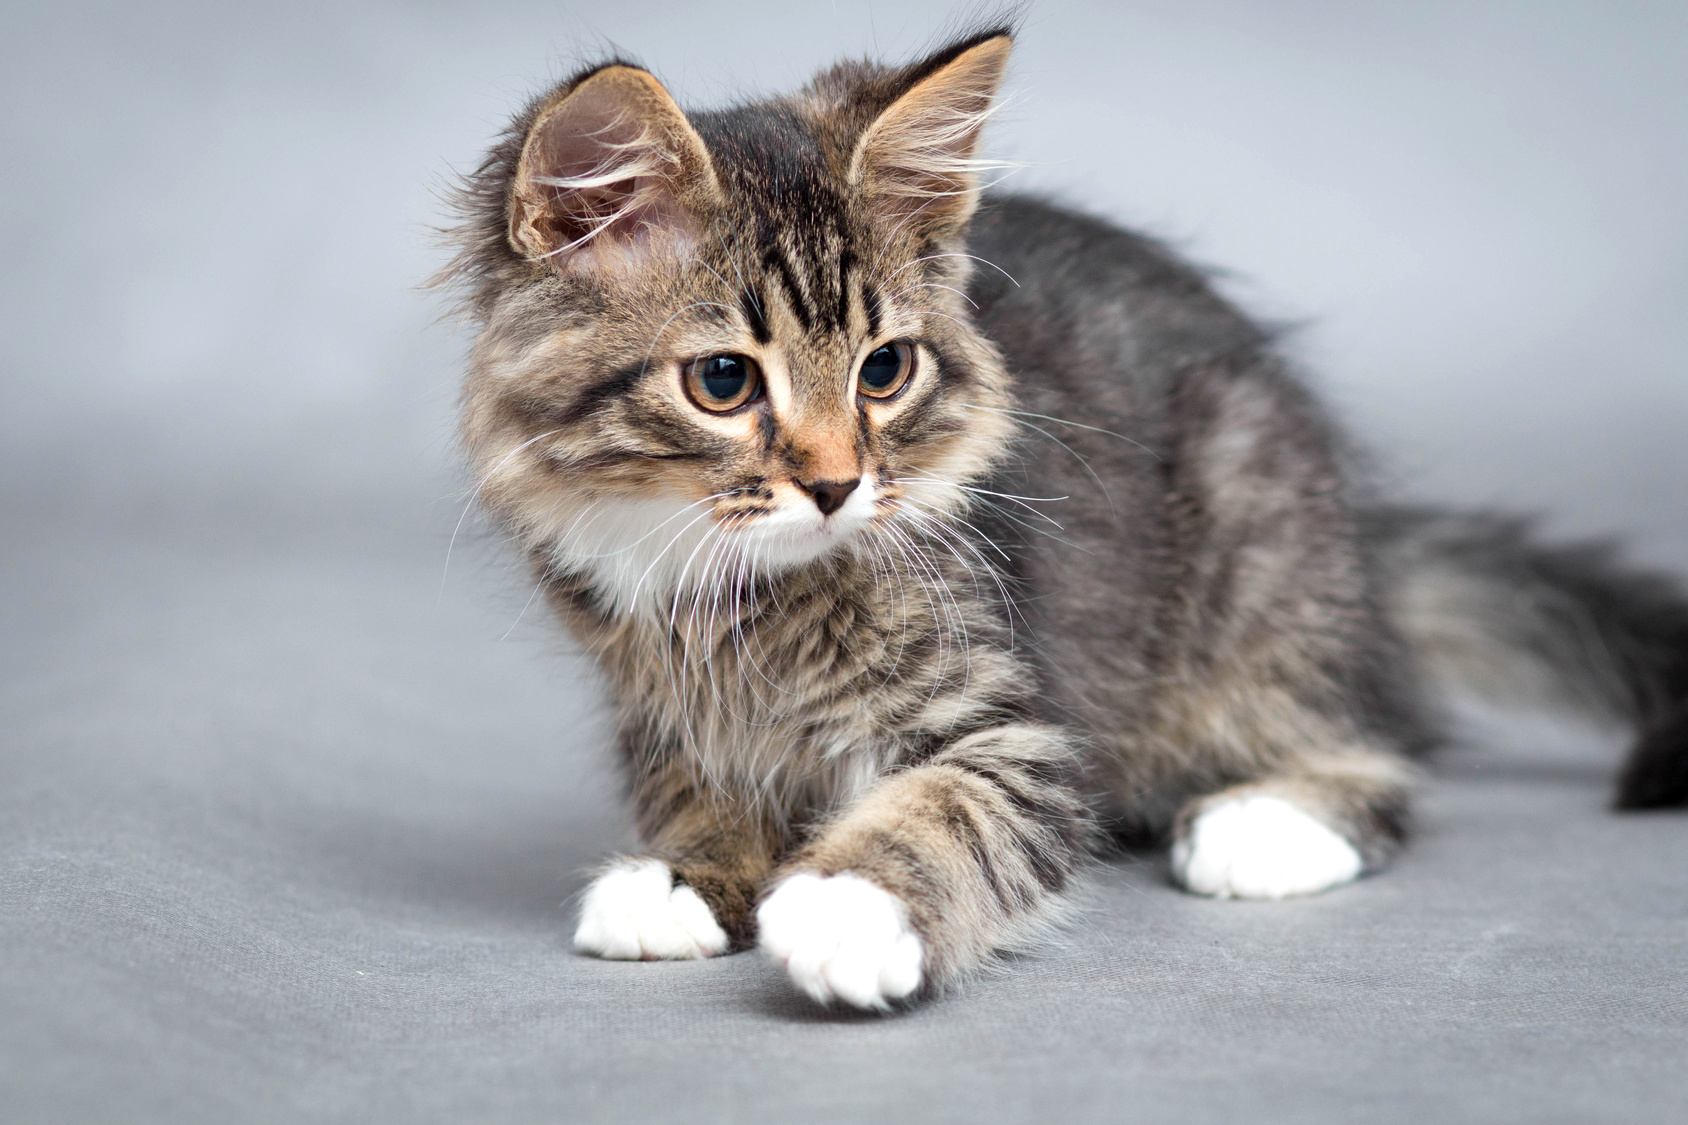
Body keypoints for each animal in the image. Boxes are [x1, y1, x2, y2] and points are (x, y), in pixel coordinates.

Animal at [442, 26, 1688, 1006]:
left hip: (1262, 544)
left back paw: (1262, 826)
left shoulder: (1012, 722)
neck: (735, 593)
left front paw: (845, 902)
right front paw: (680, 879)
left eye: (883, 371)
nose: (839, 484)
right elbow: (696, 801)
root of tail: (1361, 548)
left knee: (1376, 750)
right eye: (721, 383)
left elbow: (948, 807)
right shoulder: (662, 711)